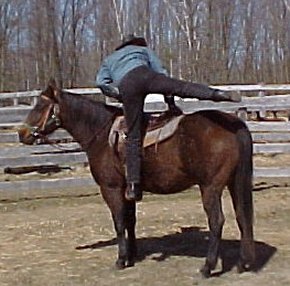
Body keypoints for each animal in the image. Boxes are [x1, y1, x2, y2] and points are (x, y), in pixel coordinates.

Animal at [17, 80, 254, 278]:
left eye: (40, 106)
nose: (22, 133)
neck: (102, 133)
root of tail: (234, 123)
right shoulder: (128, 189)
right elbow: (131, 220)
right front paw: (132, 255)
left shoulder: (111, 188)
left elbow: (119, 221)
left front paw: (121, 259)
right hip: (234, 183)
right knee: (242, 216)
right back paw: (243, 263)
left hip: (210, 187)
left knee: (216, 221)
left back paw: (207, 267)